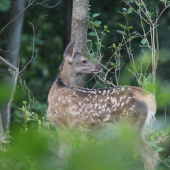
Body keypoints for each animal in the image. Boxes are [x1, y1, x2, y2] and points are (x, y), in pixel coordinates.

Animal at [46, 41, 159, 170]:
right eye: (84, 61)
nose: (98, 67)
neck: (58, 87)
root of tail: (150, 99)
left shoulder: (62, 124)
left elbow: (62, 156)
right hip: (138, 129)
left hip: (131, 126)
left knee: (151, 157)